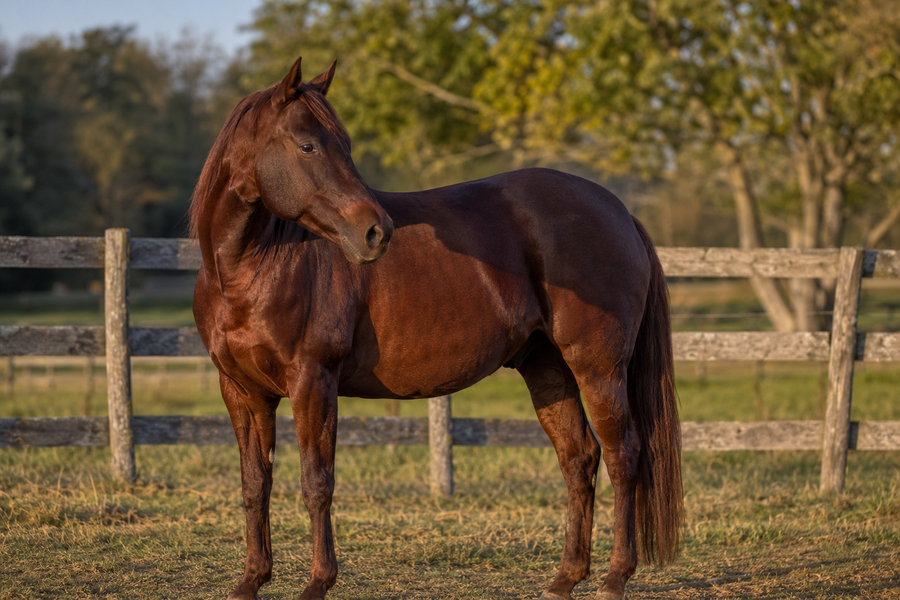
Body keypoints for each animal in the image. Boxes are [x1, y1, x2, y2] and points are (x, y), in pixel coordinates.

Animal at [190, 56, 683, 600]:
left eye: (344, 144)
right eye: (307, 145)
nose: (376, 231)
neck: (252, 269)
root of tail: (619, 211)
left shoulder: (312, 381)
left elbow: (317, 482)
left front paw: (318, 582)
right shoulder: (242, 391)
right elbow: (255, 483)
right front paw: (251, 580)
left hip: (598, 368)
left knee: (623, 456)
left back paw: (615, 577)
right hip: (549, 368)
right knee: (579, 458)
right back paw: (565, 577)